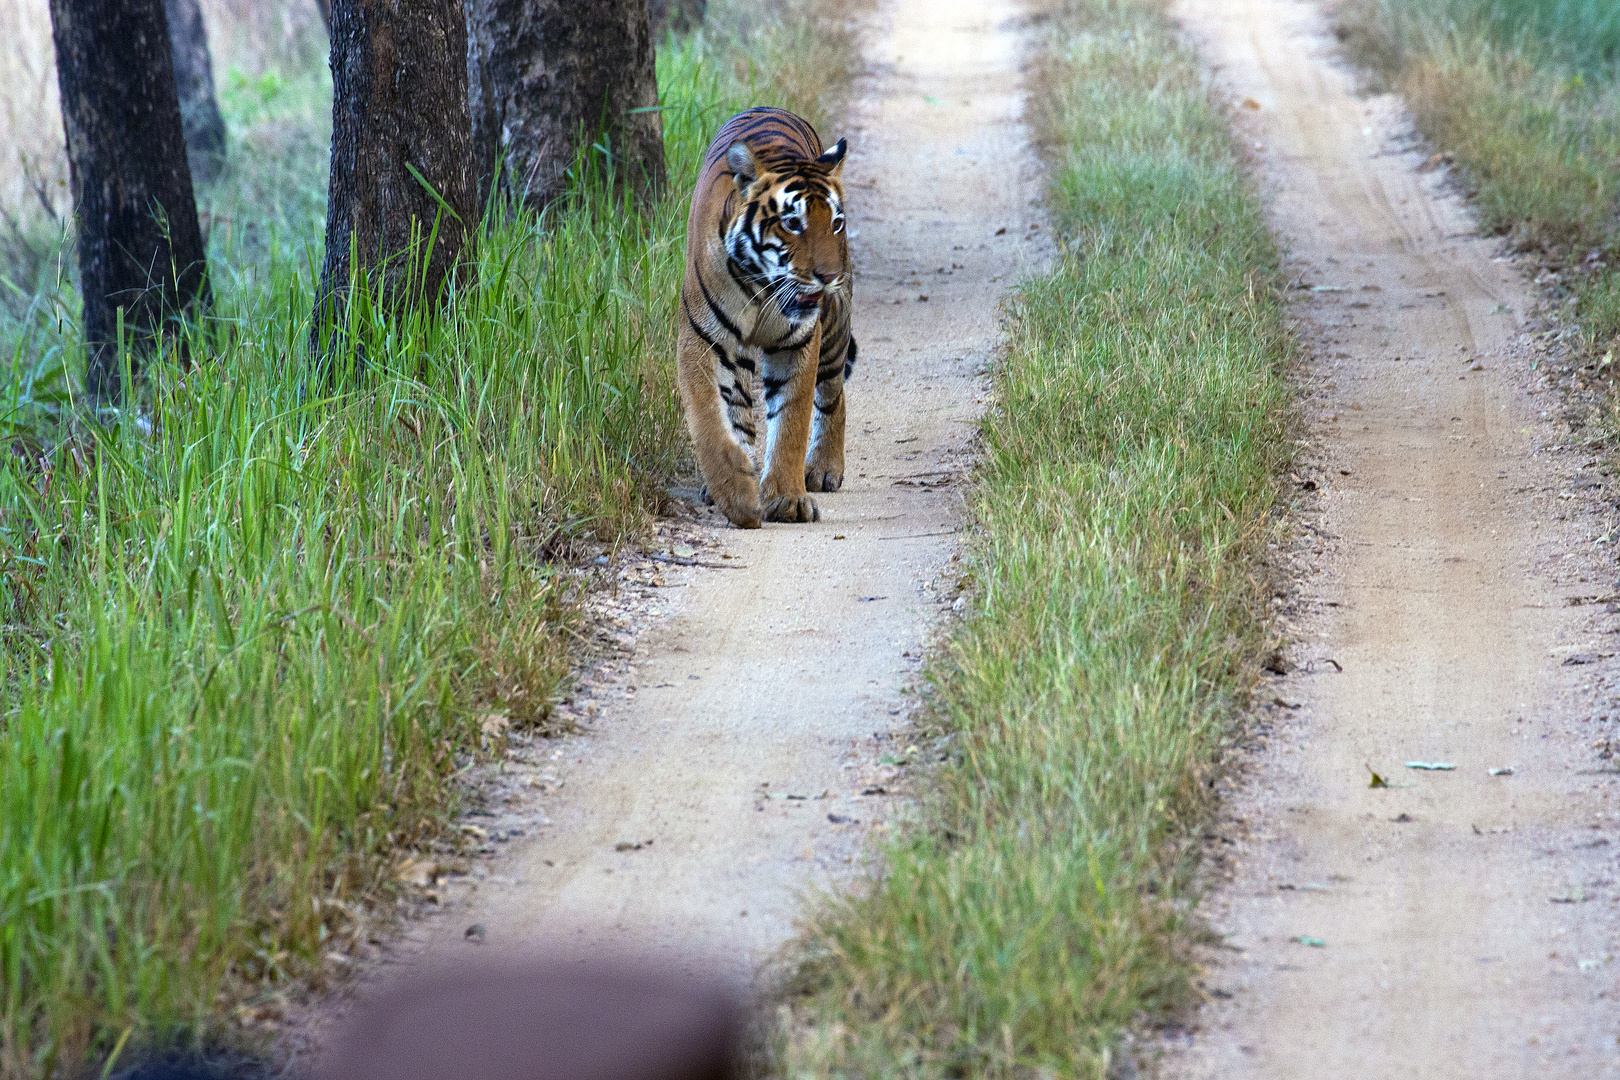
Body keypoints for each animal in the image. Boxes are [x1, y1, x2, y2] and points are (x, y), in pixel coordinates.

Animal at [673, 107, 855, 531]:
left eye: (835, 223)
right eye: (792, 223)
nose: (828, 276)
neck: (762, 285)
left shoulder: (800, 338)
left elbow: (792, 420)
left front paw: (788, 499)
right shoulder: (701, 338)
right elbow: (709, 419)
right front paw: (738, 494)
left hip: (834, 327)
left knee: (833, 394)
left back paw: (824, 469)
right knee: (738, 406)